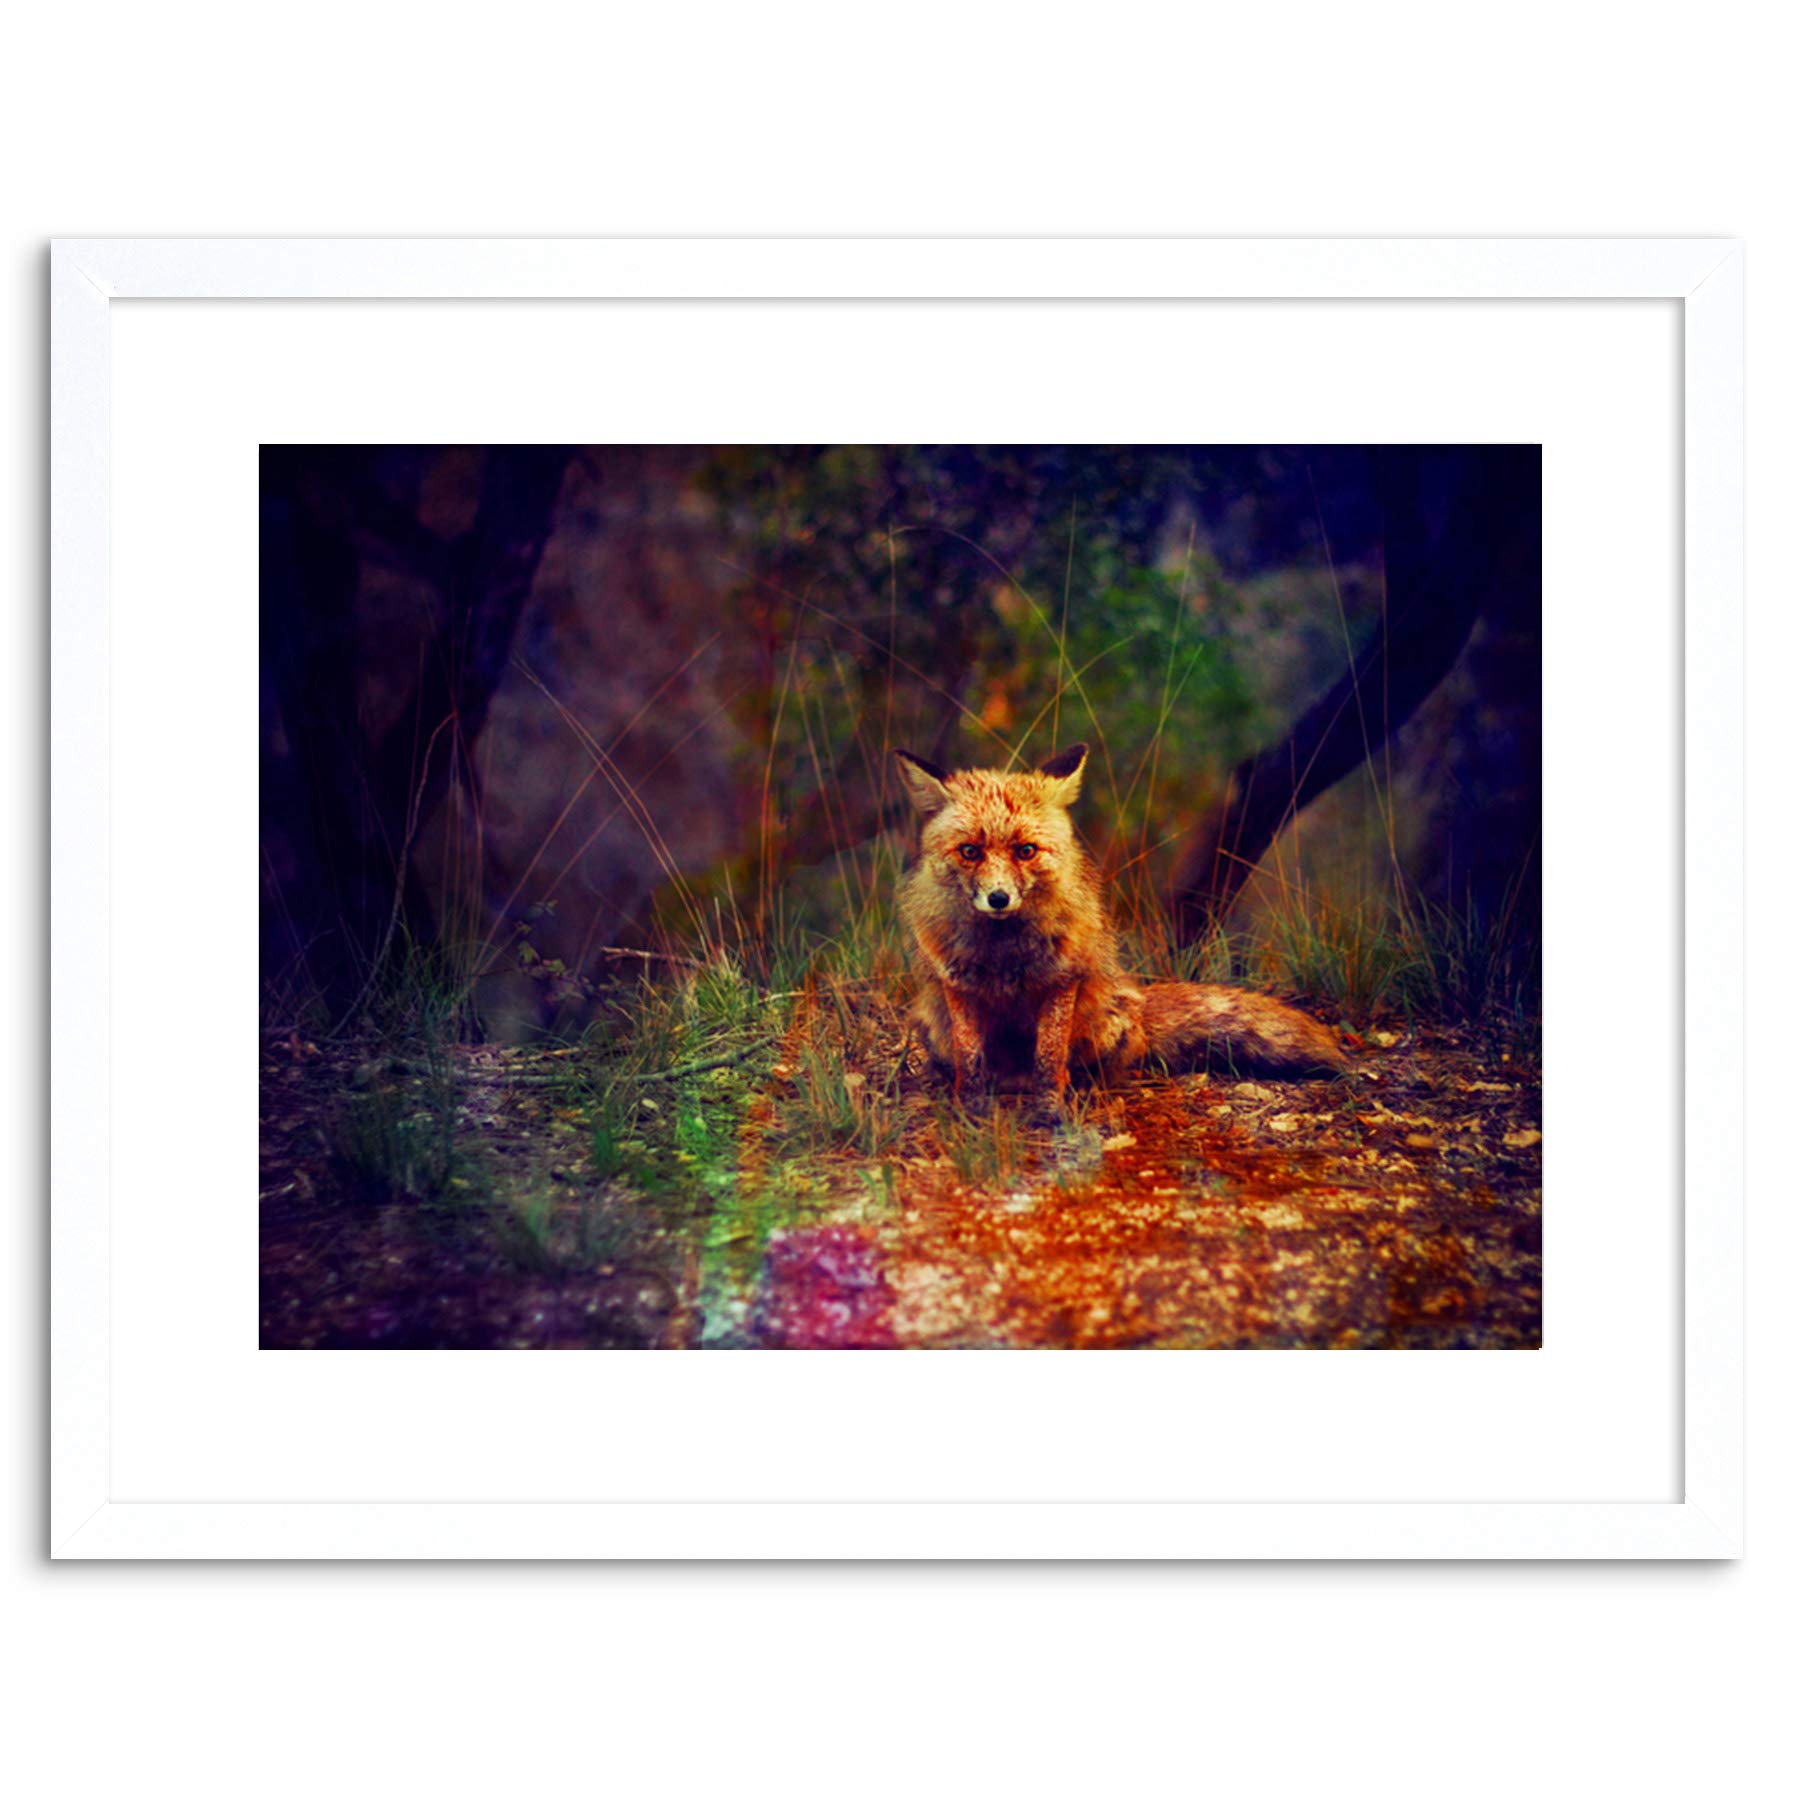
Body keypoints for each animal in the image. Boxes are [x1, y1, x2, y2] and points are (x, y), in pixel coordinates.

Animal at [893, 742, 1346, 1117]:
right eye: (970, 851)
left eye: (1026, 851)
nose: (999, 898)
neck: (1003, 955)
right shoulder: (957, 983)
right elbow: (970, 1057)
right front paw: (970, 1108)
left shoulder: (1062, 979)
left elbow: (1049, 1056)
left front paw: (1050, 1110)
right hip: (933, 1026)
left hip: (1107, 1026)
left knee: (1095, 1069)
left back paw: (1081, 1088)